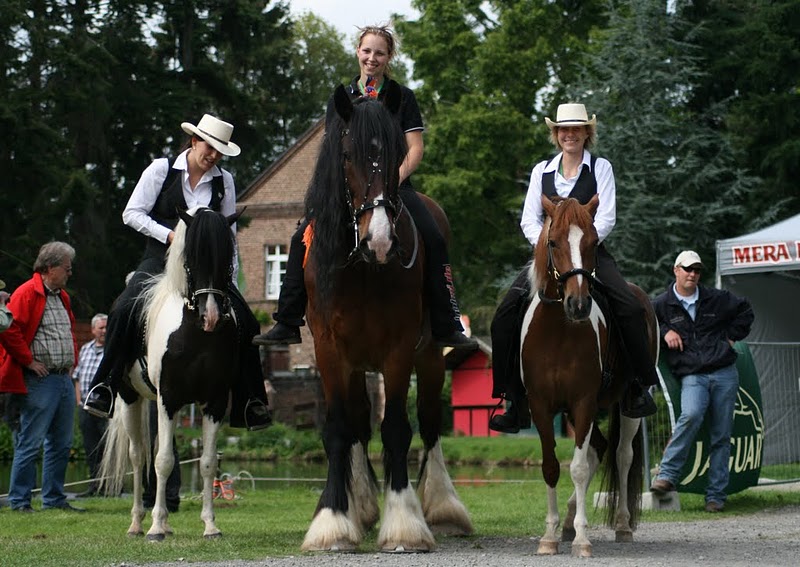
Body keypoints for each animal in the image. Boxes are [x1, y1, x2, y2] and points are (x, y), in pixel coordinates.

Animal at [99, 206, 241, 541]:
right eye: (191, 259)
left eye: (227, 259)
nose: (210, 315)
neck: (195, 333)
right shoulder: (169, 398)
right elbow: (162, 461)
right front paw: (155, 529)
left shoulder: (214, 402)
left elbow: (207, 463)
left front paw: (210, 525)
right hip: (130, 398)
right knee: (138, 456)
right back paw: (138, 523)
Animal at [299, 83, 473, 552]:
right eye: (345, 155)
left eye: (397, 154)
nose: (378, 240)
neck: (364, 270)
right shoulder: (330, 351)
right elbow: (339, 429)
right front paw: (333, 521)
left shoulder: (399, 349)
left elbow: (397, 429)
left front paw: (404, 525)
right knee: (360, 423)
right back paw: (360, 505)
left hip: (429, 357)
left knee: (429, 423)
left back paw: (444, 508)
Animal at [521, 195, 657, 557]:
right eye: (553, 242)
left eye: (594, 242)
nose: (578, 305)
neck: (558, 332)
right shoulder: (541, 406)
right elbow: (551, 466)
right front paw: (550, 536)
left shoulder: (583, 402)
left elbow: (579, 468)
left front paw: (582, 540)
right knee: (599, 449)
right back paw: (568, 521)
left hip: (626, 406)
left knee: (621, 455)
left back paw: (622, 525)